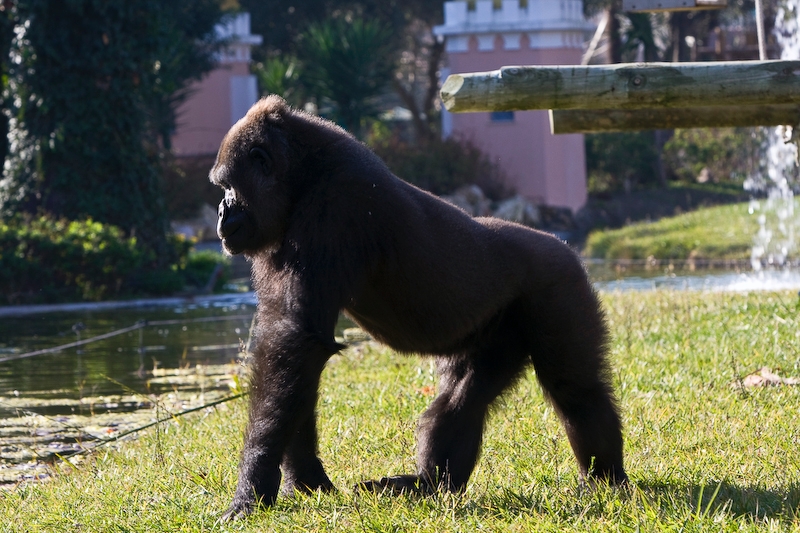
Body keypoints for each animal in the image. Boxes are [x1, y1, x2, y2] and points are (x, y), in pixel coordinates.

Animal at [210, 95, 627, 519]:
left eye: (227, 186)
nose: (222, 213)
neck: (303, 171)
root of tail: (566, 246)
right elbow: (294, 353)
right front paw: (306, 481)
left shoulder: (334, 205)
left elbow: (296, 340)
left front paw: (252, 487)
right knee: (465, 396)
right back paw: (427, 485)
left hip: (561, 283)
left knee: (576, 390)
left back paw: (605, 479)